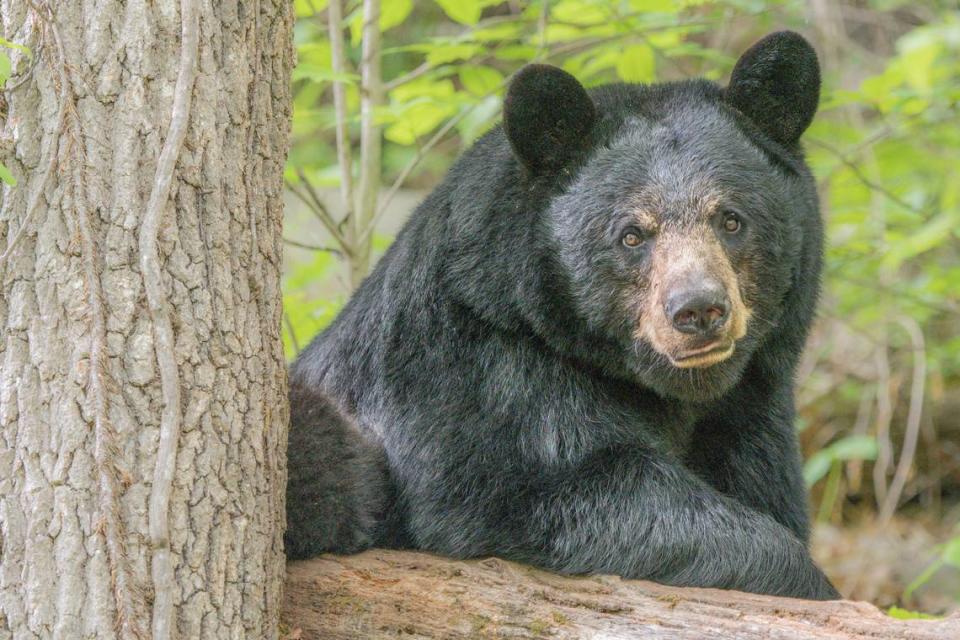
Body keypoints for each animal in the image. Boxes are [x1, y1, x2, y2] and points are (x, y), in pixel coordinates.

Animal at [286, 30, 840, 600]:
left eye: (730, 219)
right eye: (632, 235)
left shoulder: (751, 412)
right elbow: (539, 492)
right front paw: (804, 578)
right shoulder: (474, 379)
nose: (698, 309)